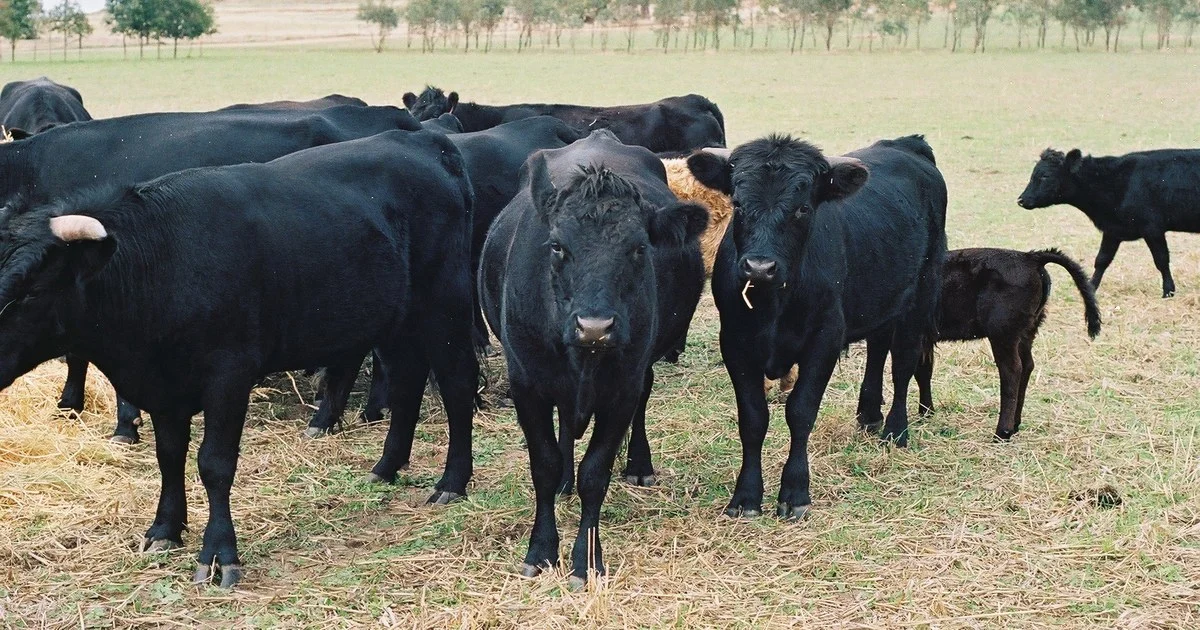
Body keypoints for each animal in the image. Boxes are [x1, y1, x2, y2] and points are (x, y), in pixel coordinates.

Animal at [478, 130, 708, 587]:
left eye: (639, 248)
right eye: (557, 247)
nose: (595, 327)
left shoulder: (621, 389)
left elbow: (595, 474)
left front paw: (586, 559)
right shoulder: (526, 385)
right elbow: (544, 465)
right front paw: (541, 549)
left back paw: (639, 463)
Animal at [687, 134, 947, 520]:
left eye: (803, 209)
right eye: (738, 203)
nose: (759, 267)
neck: (775, 304)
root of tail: (905, 145)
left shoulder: (824, 340)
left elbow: (801, 411)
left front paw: (795, 492)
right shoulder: (735, 343)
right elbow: (753, 418)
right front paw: (746, 496)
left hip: (920, 296)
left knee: (902, 363)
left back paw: (895, 430)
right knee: (877, 348)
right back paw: (869, 414)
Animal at [911, 248, 1102, 439]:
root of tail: (1031, 257)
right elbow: (923, 372)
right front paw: (926, 413)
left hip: (1002, 334)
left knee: (1011, 370)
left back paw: (1002, 432)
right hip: (1026, 332)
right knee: (1027, 365)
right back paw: (1015, 424)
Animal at [1017, 147, 1200, 298]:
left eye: (1045, 176)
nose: (1021, 200)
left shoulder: (1152, 228)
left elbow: (1161, 259)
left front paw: (1168, 291)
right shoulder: (1113, 230)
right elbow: (1102, 260)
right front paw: (1090, 288)